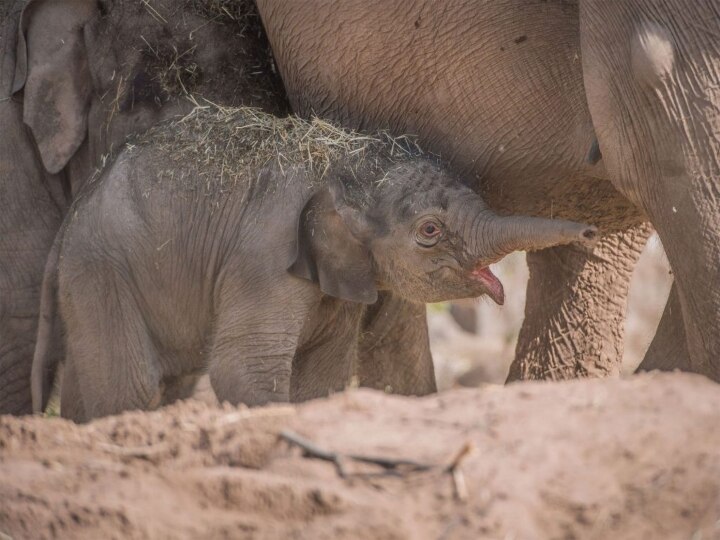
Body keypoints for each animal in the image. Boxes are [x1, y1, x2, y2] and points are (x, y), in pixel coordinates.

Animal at [32, 104, 596, 418]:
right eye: (430, 231)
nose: (590, 230)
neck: (345, 162)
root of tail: (71, 216)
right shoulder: (263, 260)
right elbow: (243, 369)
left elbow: (323, 376)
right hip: (100, 272)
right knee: (129, 387)